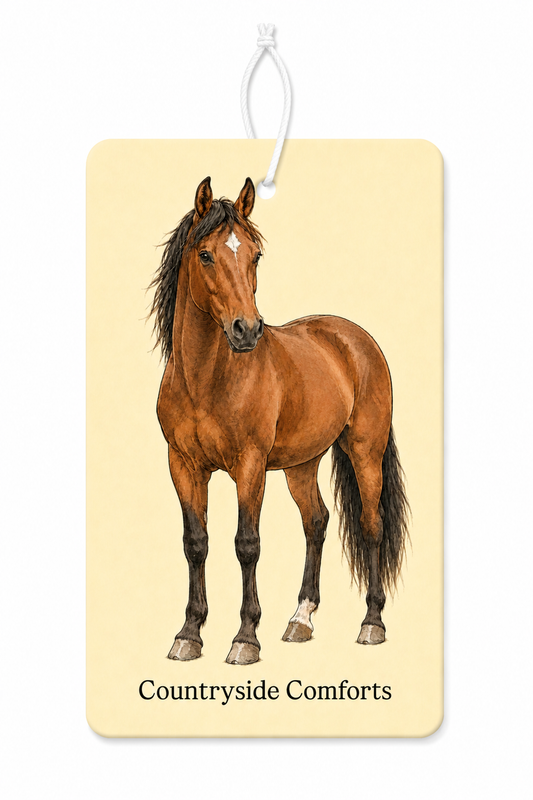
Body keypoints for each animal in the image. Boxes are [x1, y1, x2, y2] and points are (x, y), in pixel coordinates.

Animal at [149, 177, 409, 666]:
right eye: (205, 254)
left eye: (255, 255)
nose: (247, 330)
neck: (206, 380)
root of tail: (355, 338)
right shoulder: (183, 466)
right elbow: (196, 543)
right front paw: (189, 634)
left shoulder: (250, 466)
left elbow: (246, 544)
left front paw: (245, 639)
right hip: (300, 465)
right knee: (317, 521)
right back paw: (301, 619)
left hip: (365, 451)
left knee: (371, 526)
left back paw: (371, 623)